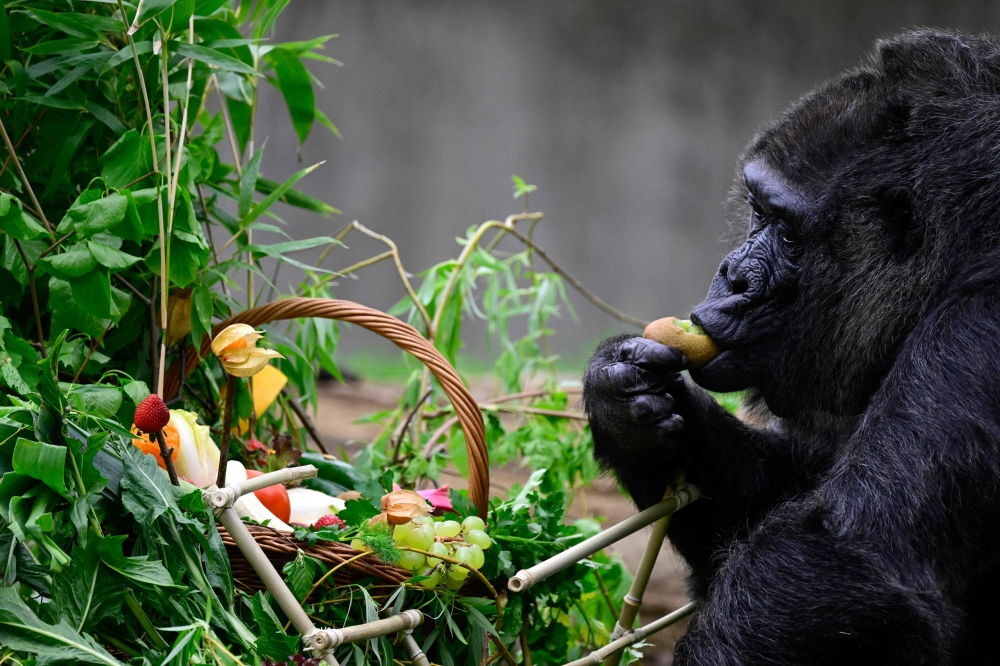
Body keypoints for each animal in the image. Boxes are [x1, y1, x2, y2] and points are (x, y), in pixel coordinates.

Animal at [584, 28, 1000, 660]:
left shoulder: (977, 335)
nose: (732, 275)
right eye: (756, 211)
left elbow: (841, 560)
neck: (962, 248)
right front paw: (623, 400)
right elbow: (784, 489)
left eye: (783, 229)